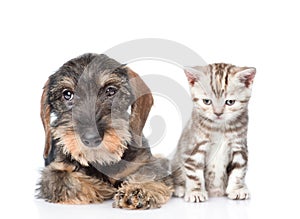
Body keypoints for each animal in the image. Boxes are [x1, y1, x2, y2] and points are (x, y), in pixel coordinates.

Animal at [37, 54, 173, 210]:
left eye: (110, 90)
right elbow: (67, 180)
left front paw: (137, 190)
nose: (91, 138)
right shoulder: (54, 171)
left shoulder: (146, 163)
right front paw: (103, 188)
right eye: (67, 94)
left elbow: (150, 174)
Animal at [171, 63, 255, 202]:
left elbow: (239, 169)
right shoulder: (193, 148)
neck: (220, 128)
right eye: (207, 101)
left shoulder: (239, 146)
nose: (218, 113)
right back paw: (180, 189)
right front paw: (196, 192)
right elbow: (194, 172)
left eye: (230, 102)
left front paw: (237, 189)